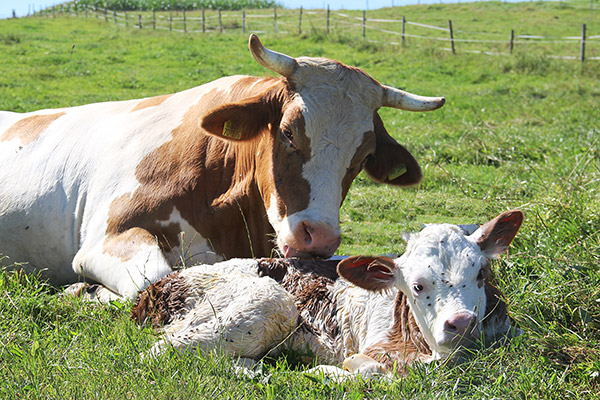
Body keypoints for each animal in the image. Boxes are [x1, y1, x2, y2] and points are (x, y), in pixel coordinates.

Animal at [0, 34, 446, 298]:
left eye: (363, 156)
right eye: (287, 133)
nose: (317, 237)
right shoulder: (105, 239)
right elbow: (154, 279)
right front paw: (87, 292)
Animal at [130, 209, 520, 378]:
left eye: (481, 274)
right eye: (417, 285)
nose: (462, 323)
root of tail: (154, 288)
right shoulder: (376, 349)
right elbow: (368, 370)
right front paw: (325, 373)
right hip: (269, 302)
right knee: (160, 351)